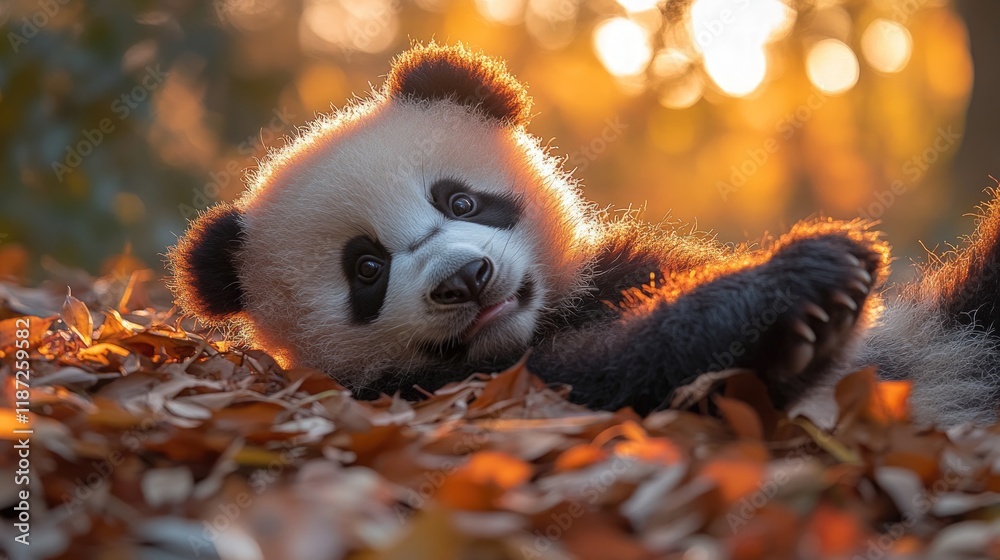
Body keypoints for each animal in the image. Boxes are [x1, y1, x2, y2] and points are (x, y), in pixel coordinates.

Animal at [168, 43, 1000, 426]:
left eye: (461, 200)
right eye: (365, 269)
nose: (465, 279)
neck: (541, 320)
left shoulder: (623, 264)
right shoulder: (418, 393)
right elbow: (602, 377)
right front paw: (797, 295)